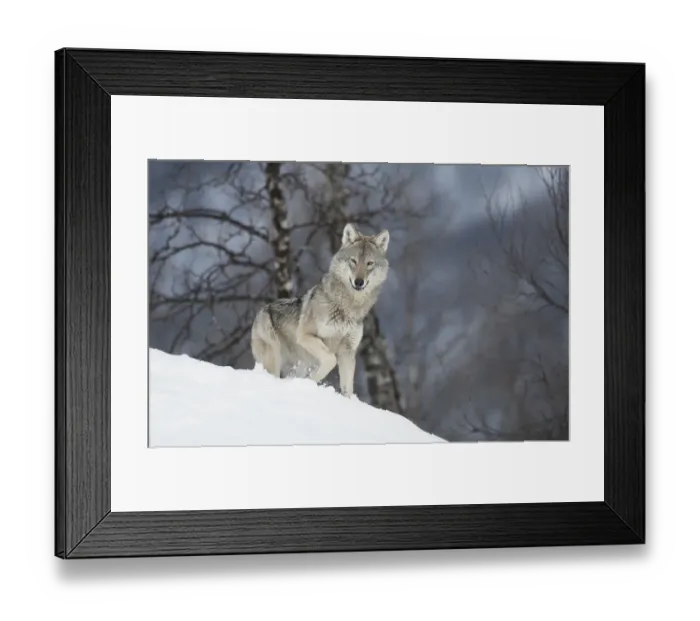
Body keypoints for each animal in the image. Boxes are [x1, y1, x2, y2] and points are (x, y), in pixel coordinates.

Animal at [251, 223, 390, 398]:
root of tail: (260, 311)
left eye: (369, 263)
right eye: (353, 261)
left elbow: (348, 388)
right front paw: (311, 381)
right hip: (274, 356)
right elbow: (330, 360)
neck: (348, 308)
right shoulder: (305, 336)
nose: (359, 282)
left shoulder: (348, 351)